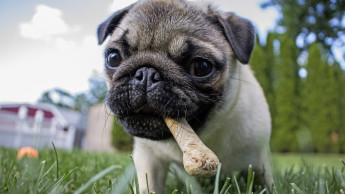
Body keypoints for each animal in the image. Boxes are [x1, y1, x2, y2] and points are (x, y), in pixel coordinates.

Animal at [96, 0, 272, 192]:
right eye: (113, 58)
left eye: (201, 66)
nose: (146, 73)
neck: (204, 136)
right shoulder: (148, 157)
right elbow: (147, 185)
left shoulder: (259, 160)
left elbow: (266, 183)